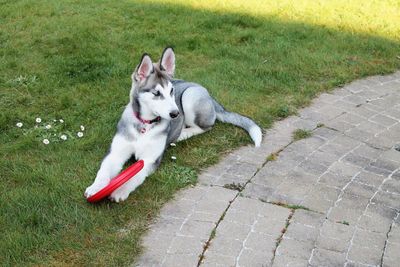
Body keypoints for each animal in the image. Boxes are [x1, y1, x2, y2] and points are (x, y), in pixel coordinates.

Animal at [84, 48, 262, 203]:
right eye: (156, 93)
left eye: (171, 91)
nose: (176, 114)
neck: (144, 125)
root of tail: (208, 94)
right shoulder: (116, 152)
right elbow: (103, 170)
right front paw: (95, 188)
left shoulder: (150, 159)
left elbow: (135, 176)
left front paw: (121, 190)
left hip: (190, 96)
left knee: (207, 126)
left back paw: (183, 133)